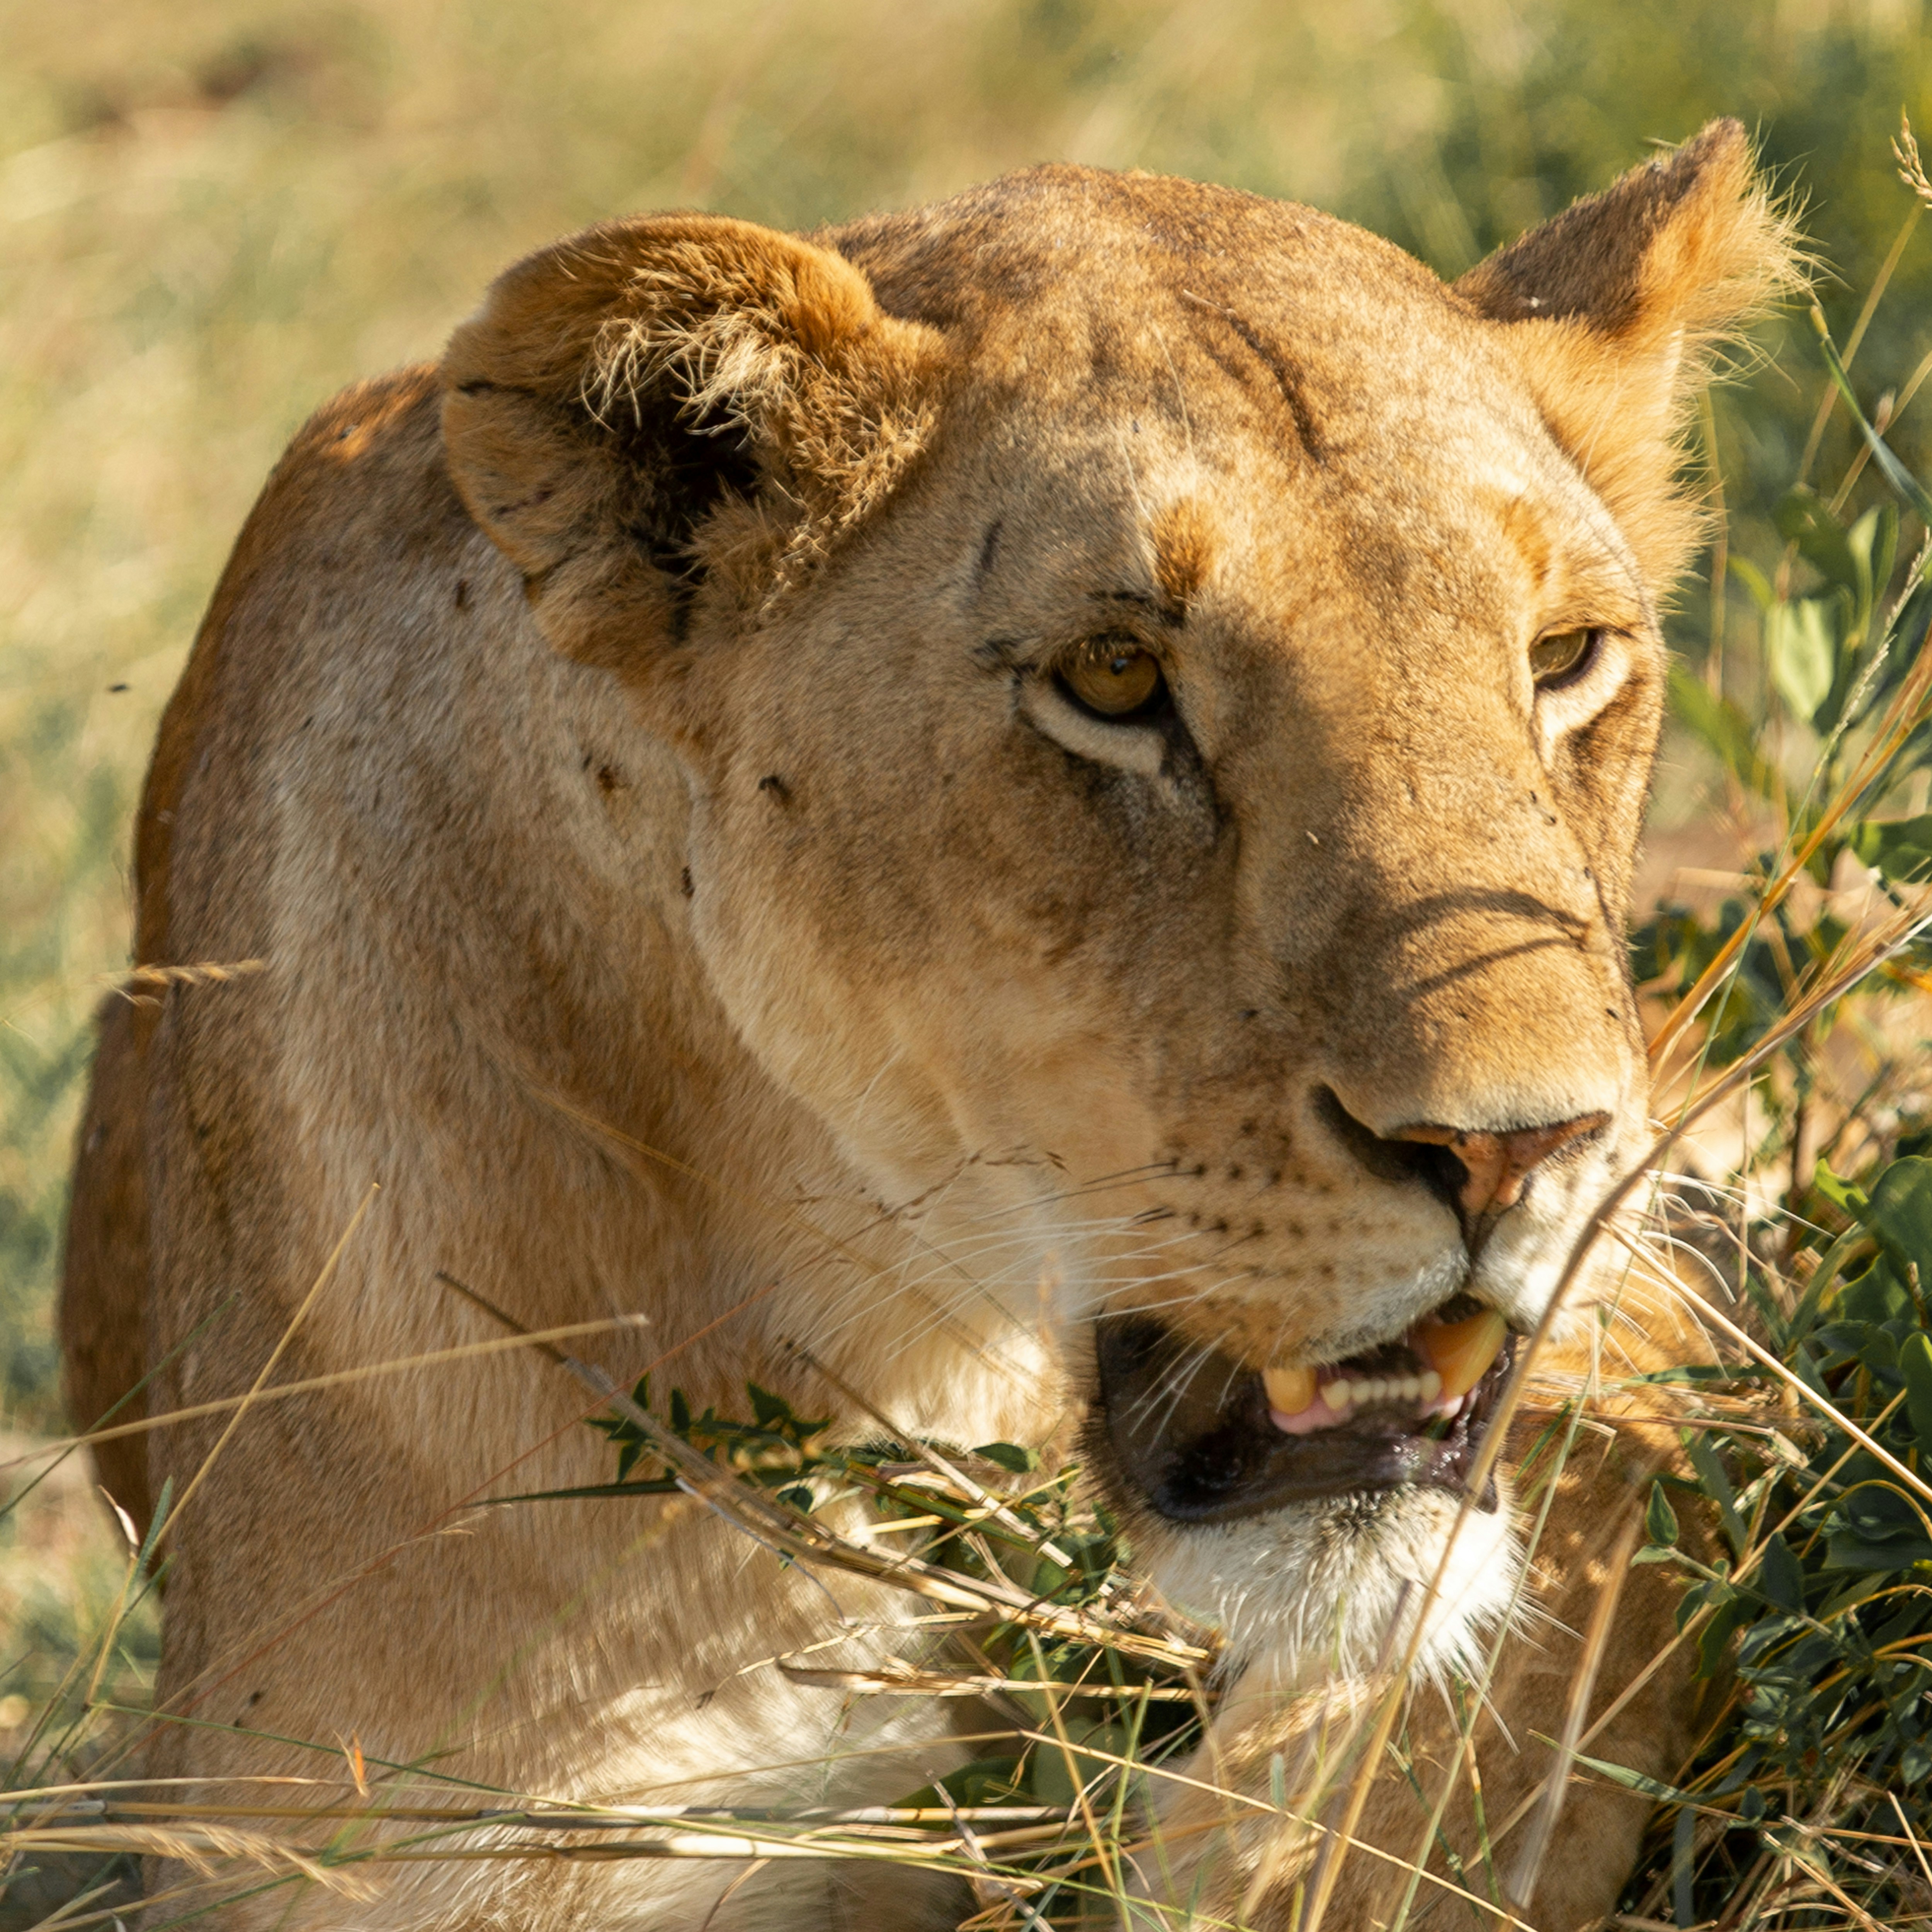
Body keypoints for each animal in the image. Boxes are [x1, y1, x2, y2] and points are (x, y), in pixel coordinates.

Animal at [59, 121, 1795, 1929]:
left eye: (1563, 655)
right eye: (1111, 678)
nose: (1518, 1148)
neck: (885, 1328)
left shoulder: (1652, 1268)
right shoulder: (346, 1830)